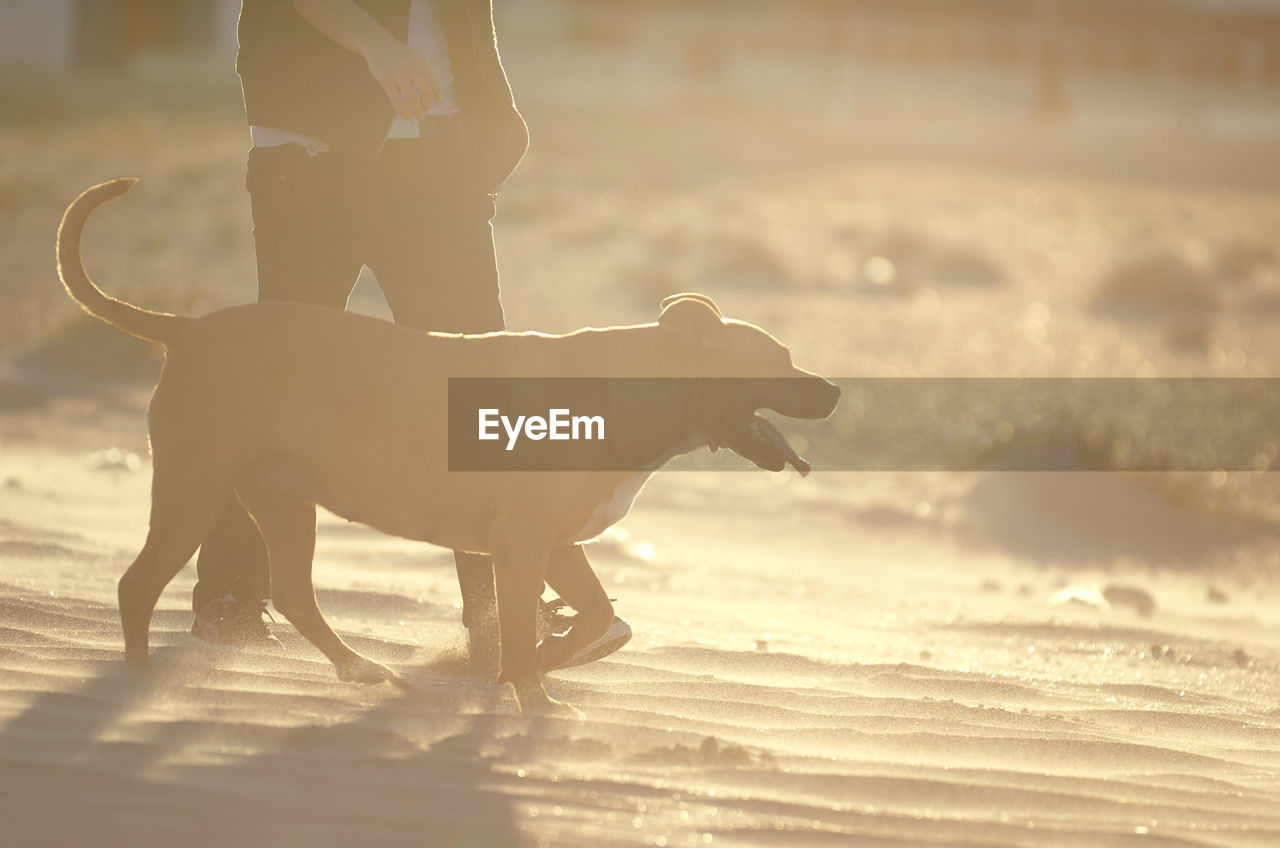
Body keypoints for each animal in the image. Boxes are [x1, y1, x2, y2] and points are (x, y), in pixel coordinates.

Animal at [57, 180, 839, 717]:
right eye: (780, 360)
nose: (835, 390)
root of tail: (186, 328)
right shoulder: (523, 545)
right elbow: (524, 631)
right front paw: (533, 691)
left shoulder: (550, 543)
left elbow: (589, 613)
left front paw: (551, 656)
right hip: (196, 487)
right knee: (139, 585)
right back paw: (138, 679)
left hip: (279, 499)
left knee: (293, 593)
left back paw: (358, 669)